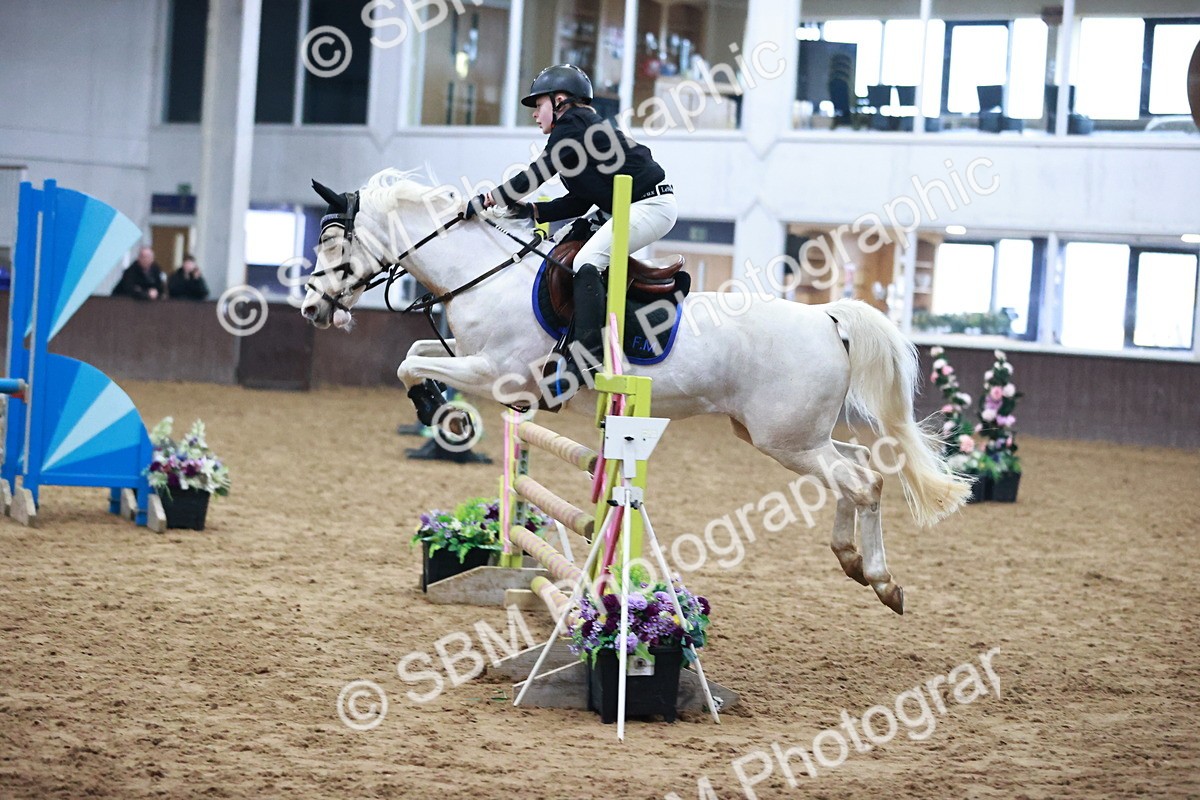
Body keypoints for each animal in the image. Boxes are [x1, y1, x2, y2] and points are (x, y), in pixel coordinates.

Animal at [300, 168, 972, 614]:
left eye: (333, 244)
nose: (310, 307)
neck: (482, 276)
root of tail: (826, 317)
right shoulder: (474, 359)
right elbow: (415, 355)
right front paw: (434, 406)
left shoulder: (496, 372)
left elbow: (409, 364)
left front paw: (438, 411)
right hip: (793, 434)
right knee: (862, 471)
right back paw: (855, 563)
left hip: (788, 439)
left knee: (861, 480)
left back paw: (881, 579)